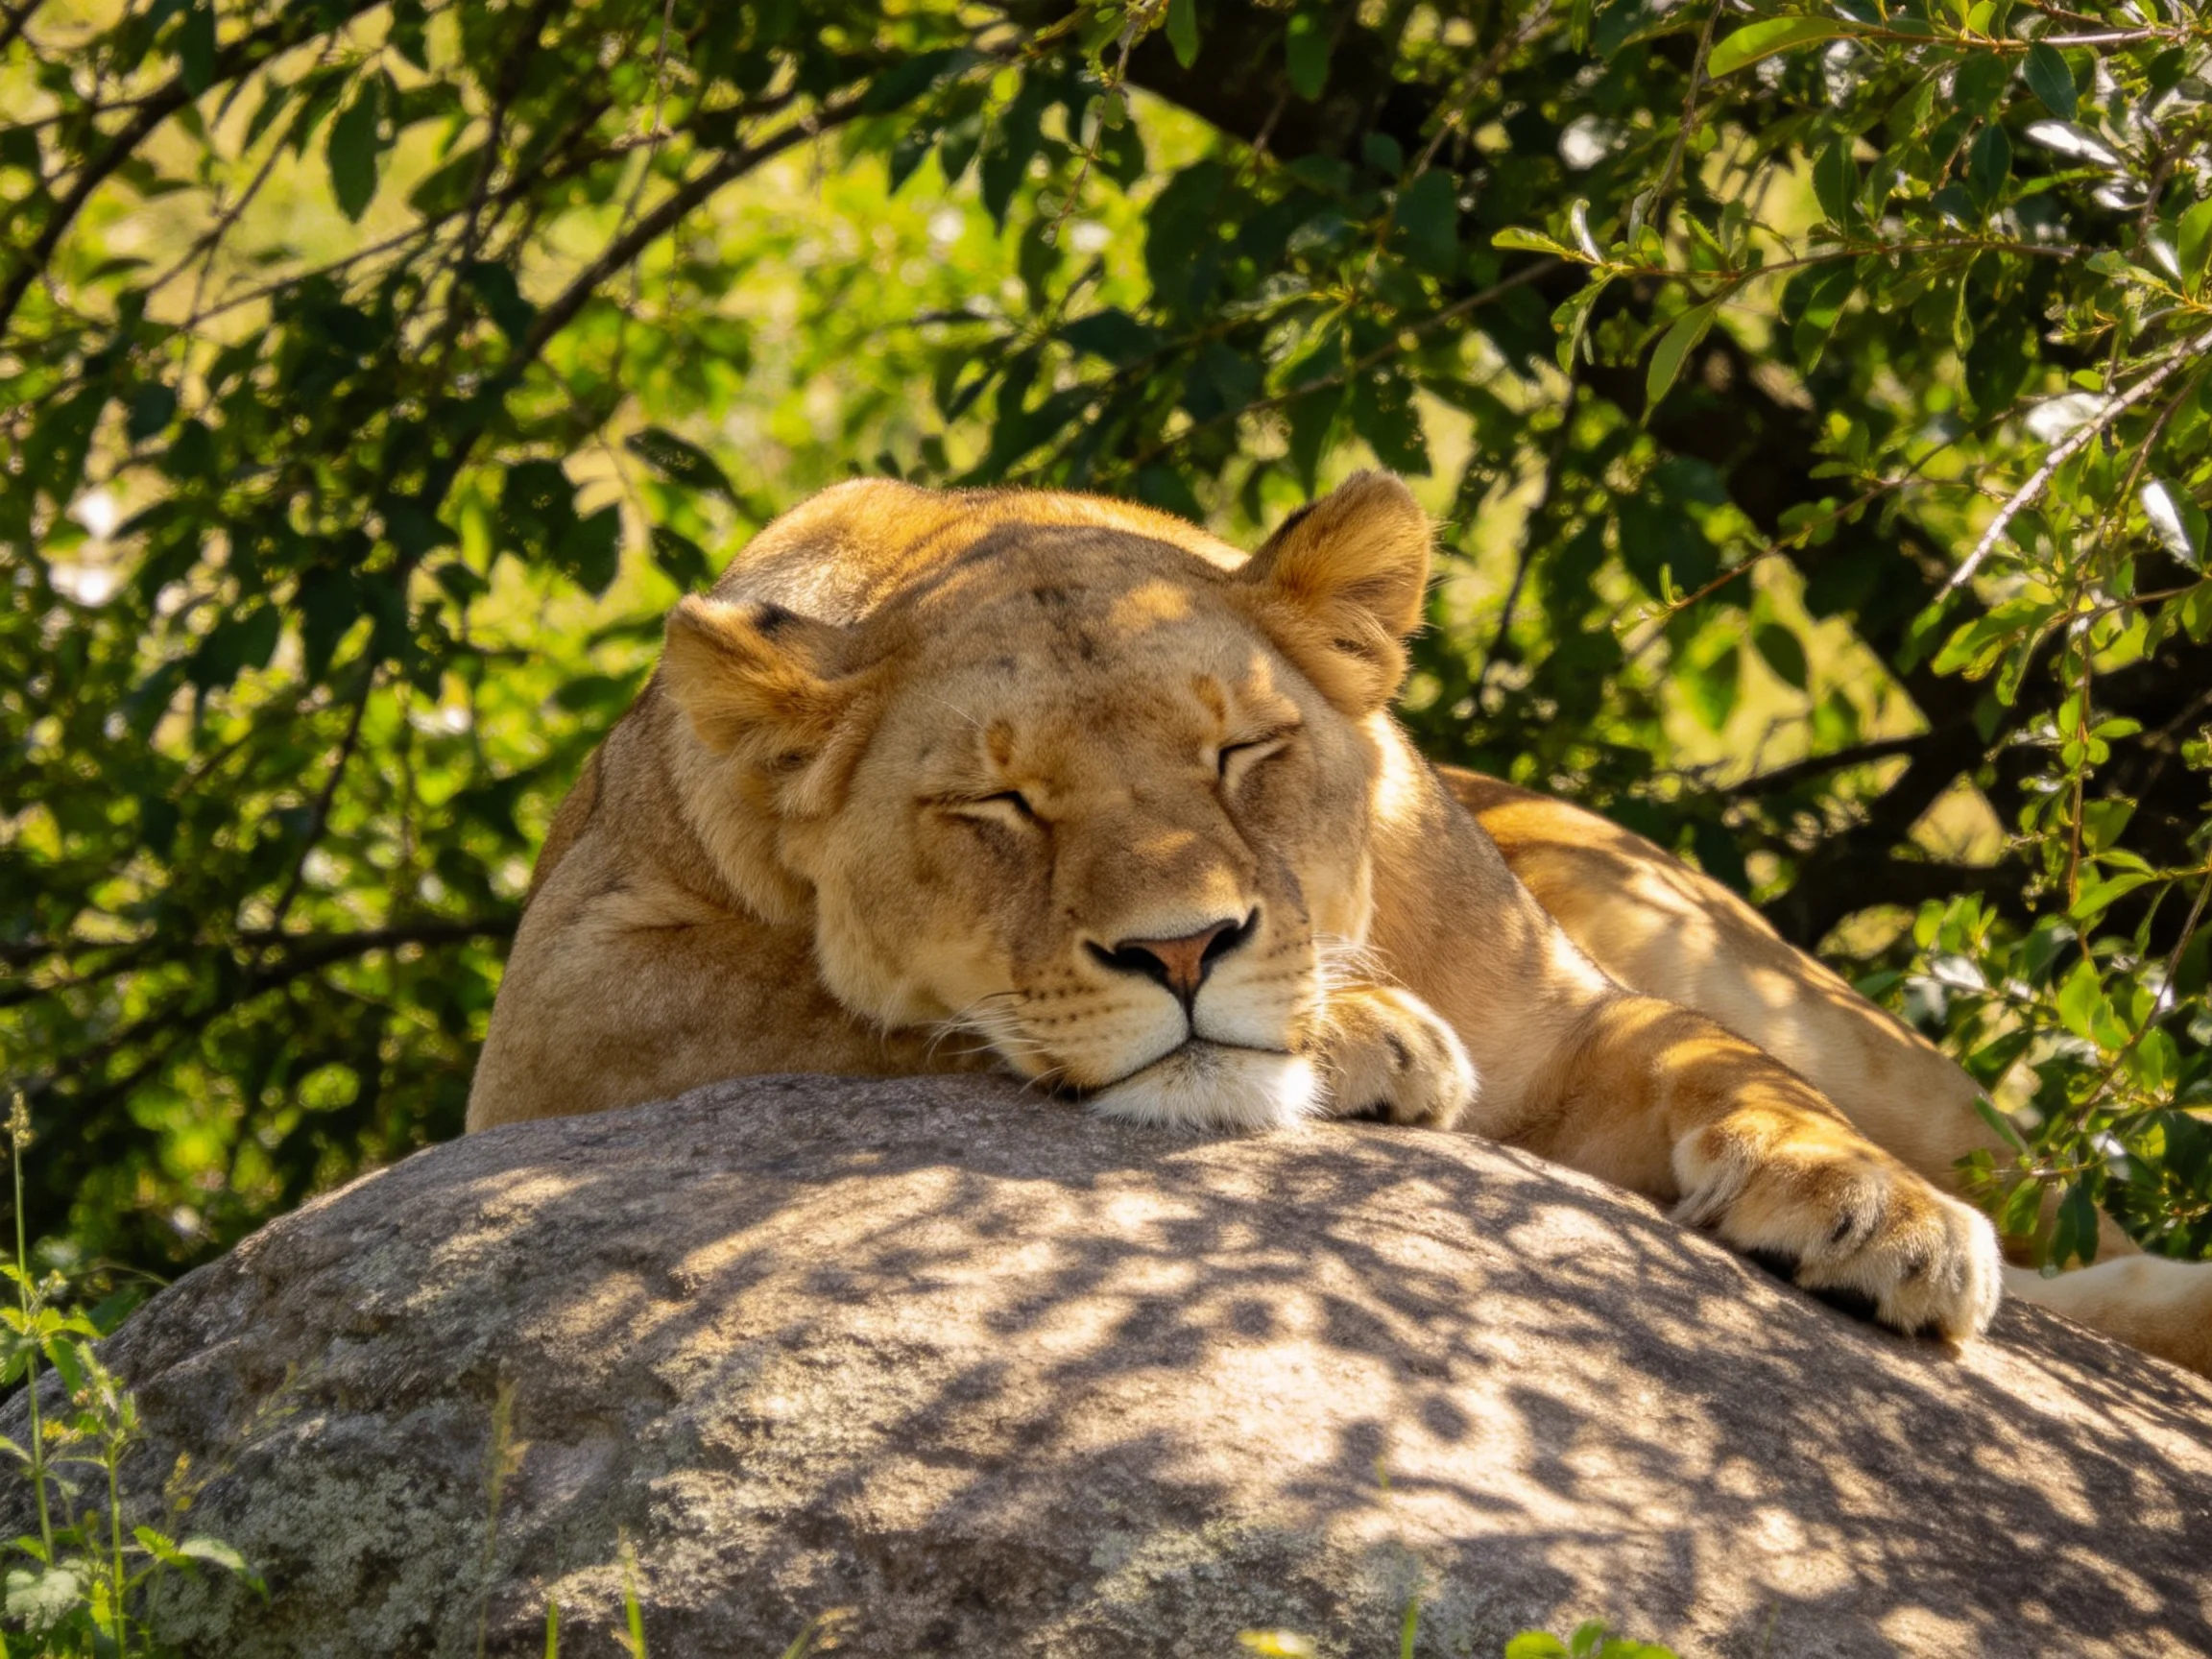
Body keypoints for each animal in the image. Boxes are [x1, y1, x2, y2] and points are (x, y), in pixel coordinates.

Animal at [470, 472, 2212, 1376]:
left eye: (1244, 750)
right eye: (1000, 805)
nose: (1181, 950)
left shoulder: (1570, 1013)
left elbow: (1728, 1069)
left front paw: (1868, 1212)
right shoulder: (562, 1012)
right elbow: (846, 1007)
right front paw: (1365, 1034)